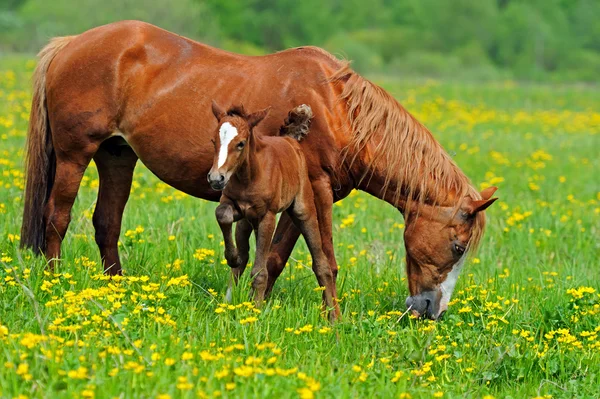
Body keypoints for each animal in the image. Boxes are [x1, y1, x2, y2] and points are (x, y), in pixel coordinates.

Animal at [207, 101, 340, 320]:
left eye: (241, 143)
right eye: (213, 141)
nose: (216, 178)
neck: (249, 176)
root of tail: (290, 141)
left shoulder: (266, 217)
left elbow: (260, 272)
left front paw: (256, 311)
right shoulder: (236, 206)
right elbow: (222, 214)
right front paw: (231, 256)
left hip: (303, 210)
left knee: (322, 264)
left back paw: (333, 318)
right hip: (245, 223)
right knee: (242, 260)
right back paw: (227, 301)